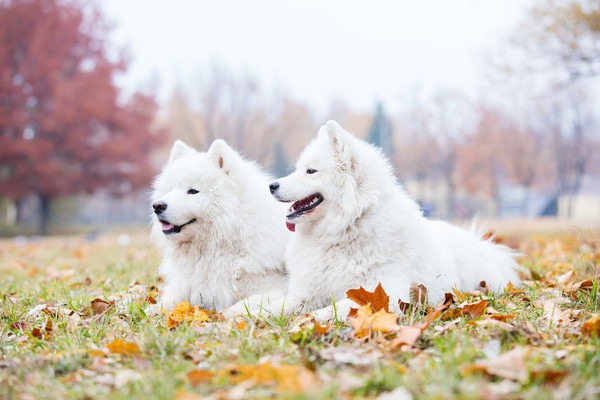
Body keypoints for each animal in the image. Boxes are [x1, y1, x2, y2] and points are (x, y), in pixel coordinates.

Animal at [151, 139, 290, 310]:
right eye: (170, 190)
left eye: (193, 191)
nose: (157, 206)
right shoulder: (187, 285)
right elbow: (168, 301)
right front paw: (153, 310)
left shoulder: (277, 288)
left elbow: (240, 306)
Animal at [232, 120, 516, 320]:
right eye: (299, 169)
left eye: (310, 171)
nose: (272, 185)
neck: (344, 229)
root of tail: (482, 245)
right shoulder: (306, 291)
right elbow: (273, 307)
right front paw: (236, 316)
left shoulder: (383, 292)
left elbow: (329, 310)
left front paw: (307, 321)